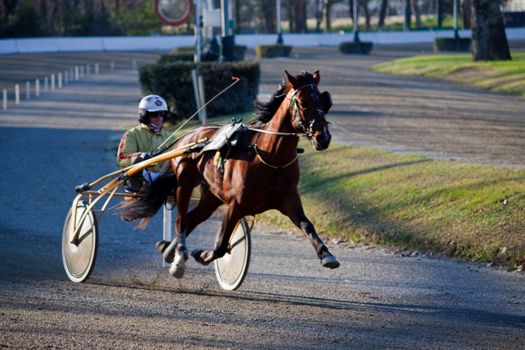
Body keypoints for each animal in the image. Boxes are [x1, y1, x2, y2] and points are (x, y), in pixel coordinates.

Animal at [118, 70, 340, 278]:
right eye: (303, 102)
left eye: (323, 100)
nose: (323, 137)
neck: (270, 157)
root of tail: (187, 137)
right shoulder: (236, 204)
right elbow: (221, 245)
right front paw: (202, 254)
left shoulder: (288, 199)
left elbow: (307, 225)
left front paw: (327, 255)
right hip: (185, 183)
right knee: (181, 220)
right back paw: (179, 257)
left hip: (212, 195)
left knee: (192, 218)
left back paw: (168, 249)